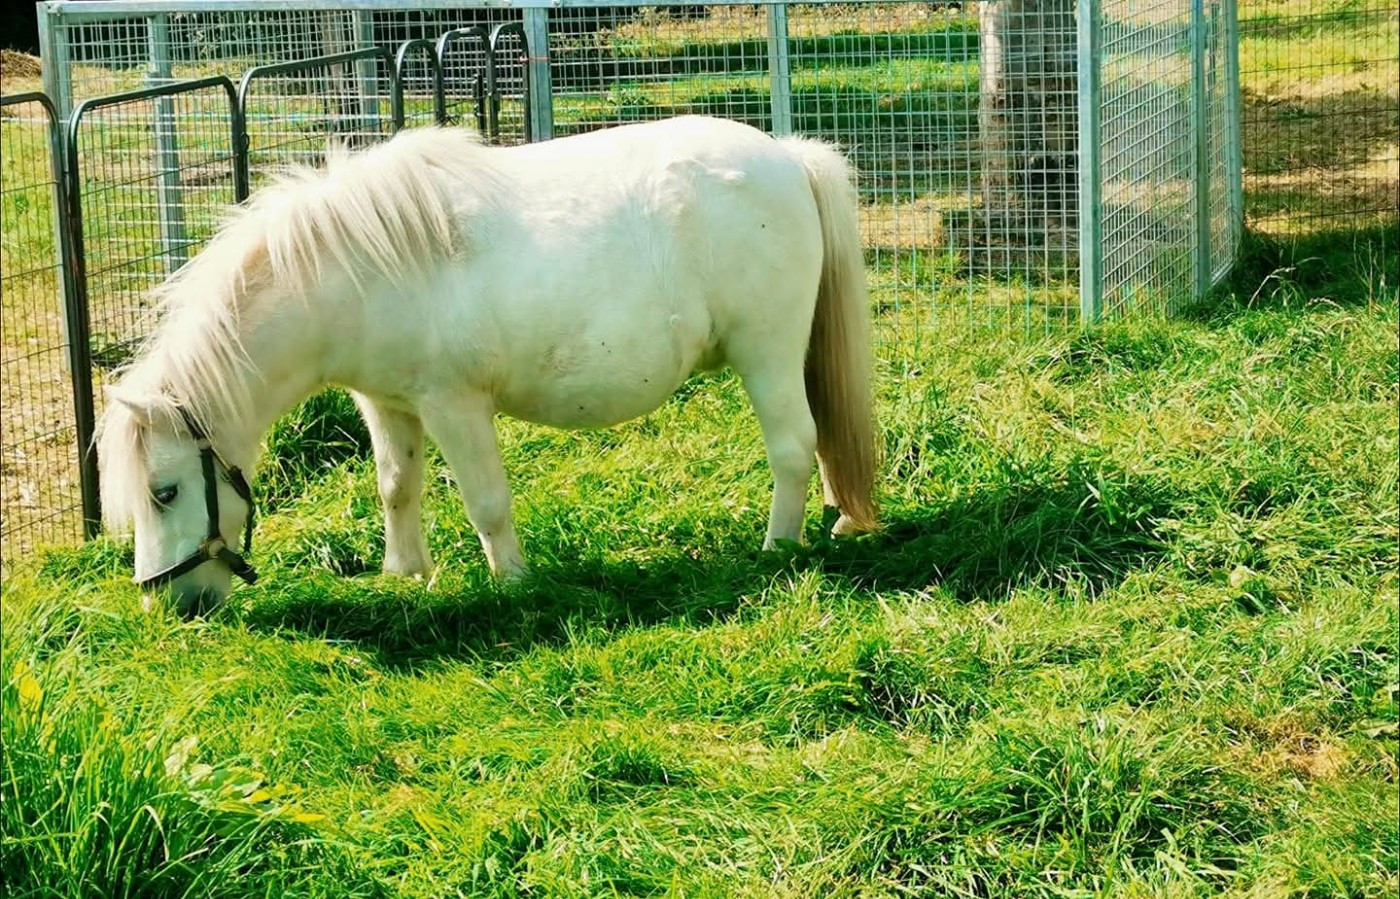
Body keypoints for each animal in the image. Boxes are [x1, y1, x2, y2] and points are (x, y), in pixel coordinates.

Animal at [96, 115, 877, 615]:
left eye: (164, 492)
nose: (172, 605)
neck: (354, 269)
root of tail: (789, 158)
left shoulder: (454, 405)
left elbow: (487, 503)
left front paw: (514, 585)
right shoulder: (387, 405)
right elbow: (396, 487)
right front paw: (403, 574)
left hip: (767, 353)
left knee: (792, 447)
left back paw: (777, 548)